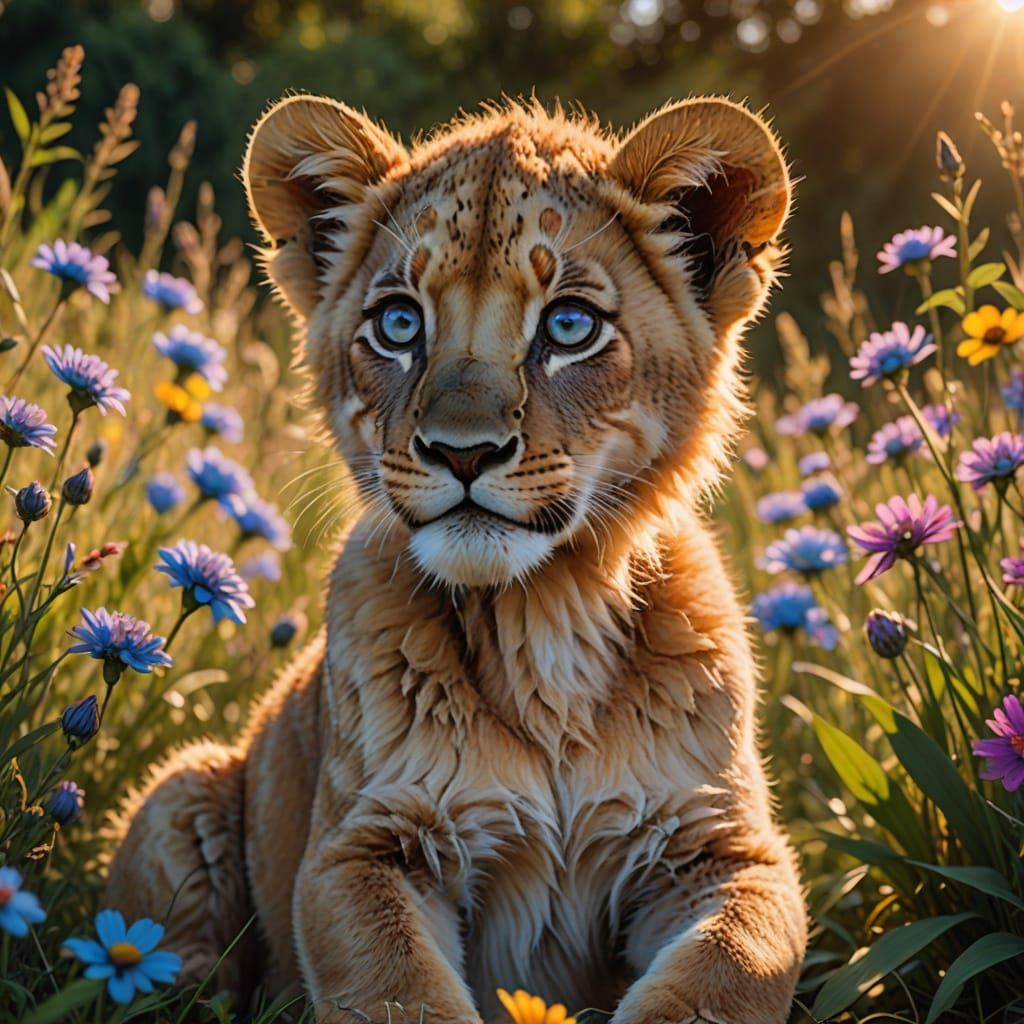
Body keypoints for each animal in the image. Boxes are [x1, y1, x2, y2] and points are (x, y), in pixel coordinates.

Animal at [106, 95, 807, 1023]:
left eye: (569, 325)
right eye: (399, 323)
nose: (462, 452)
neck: (544, 620)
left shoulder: (723, 849)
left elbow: (729, 970)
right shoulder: (365, 847)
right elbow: (400, 989)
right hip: (183, 786)